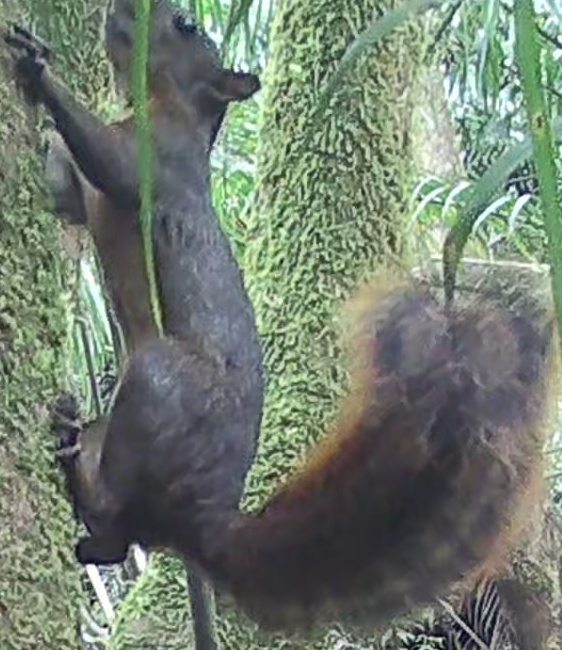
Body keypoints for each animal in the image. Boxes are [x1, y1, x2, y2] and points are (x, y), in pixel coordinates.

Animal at [3, 0, 558, 637]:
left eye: (186, 26)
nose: (125, 11)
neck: (161, 105)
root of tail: (201, 521)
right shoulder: (86, 194)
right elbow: (63, 194)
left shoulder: (156, 160)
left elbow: (107, 158)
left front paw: (40, 70)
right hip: (118, 433)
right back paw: (72, 445)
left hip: (163, 383)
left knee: (120, 534)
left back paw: (85, 486)